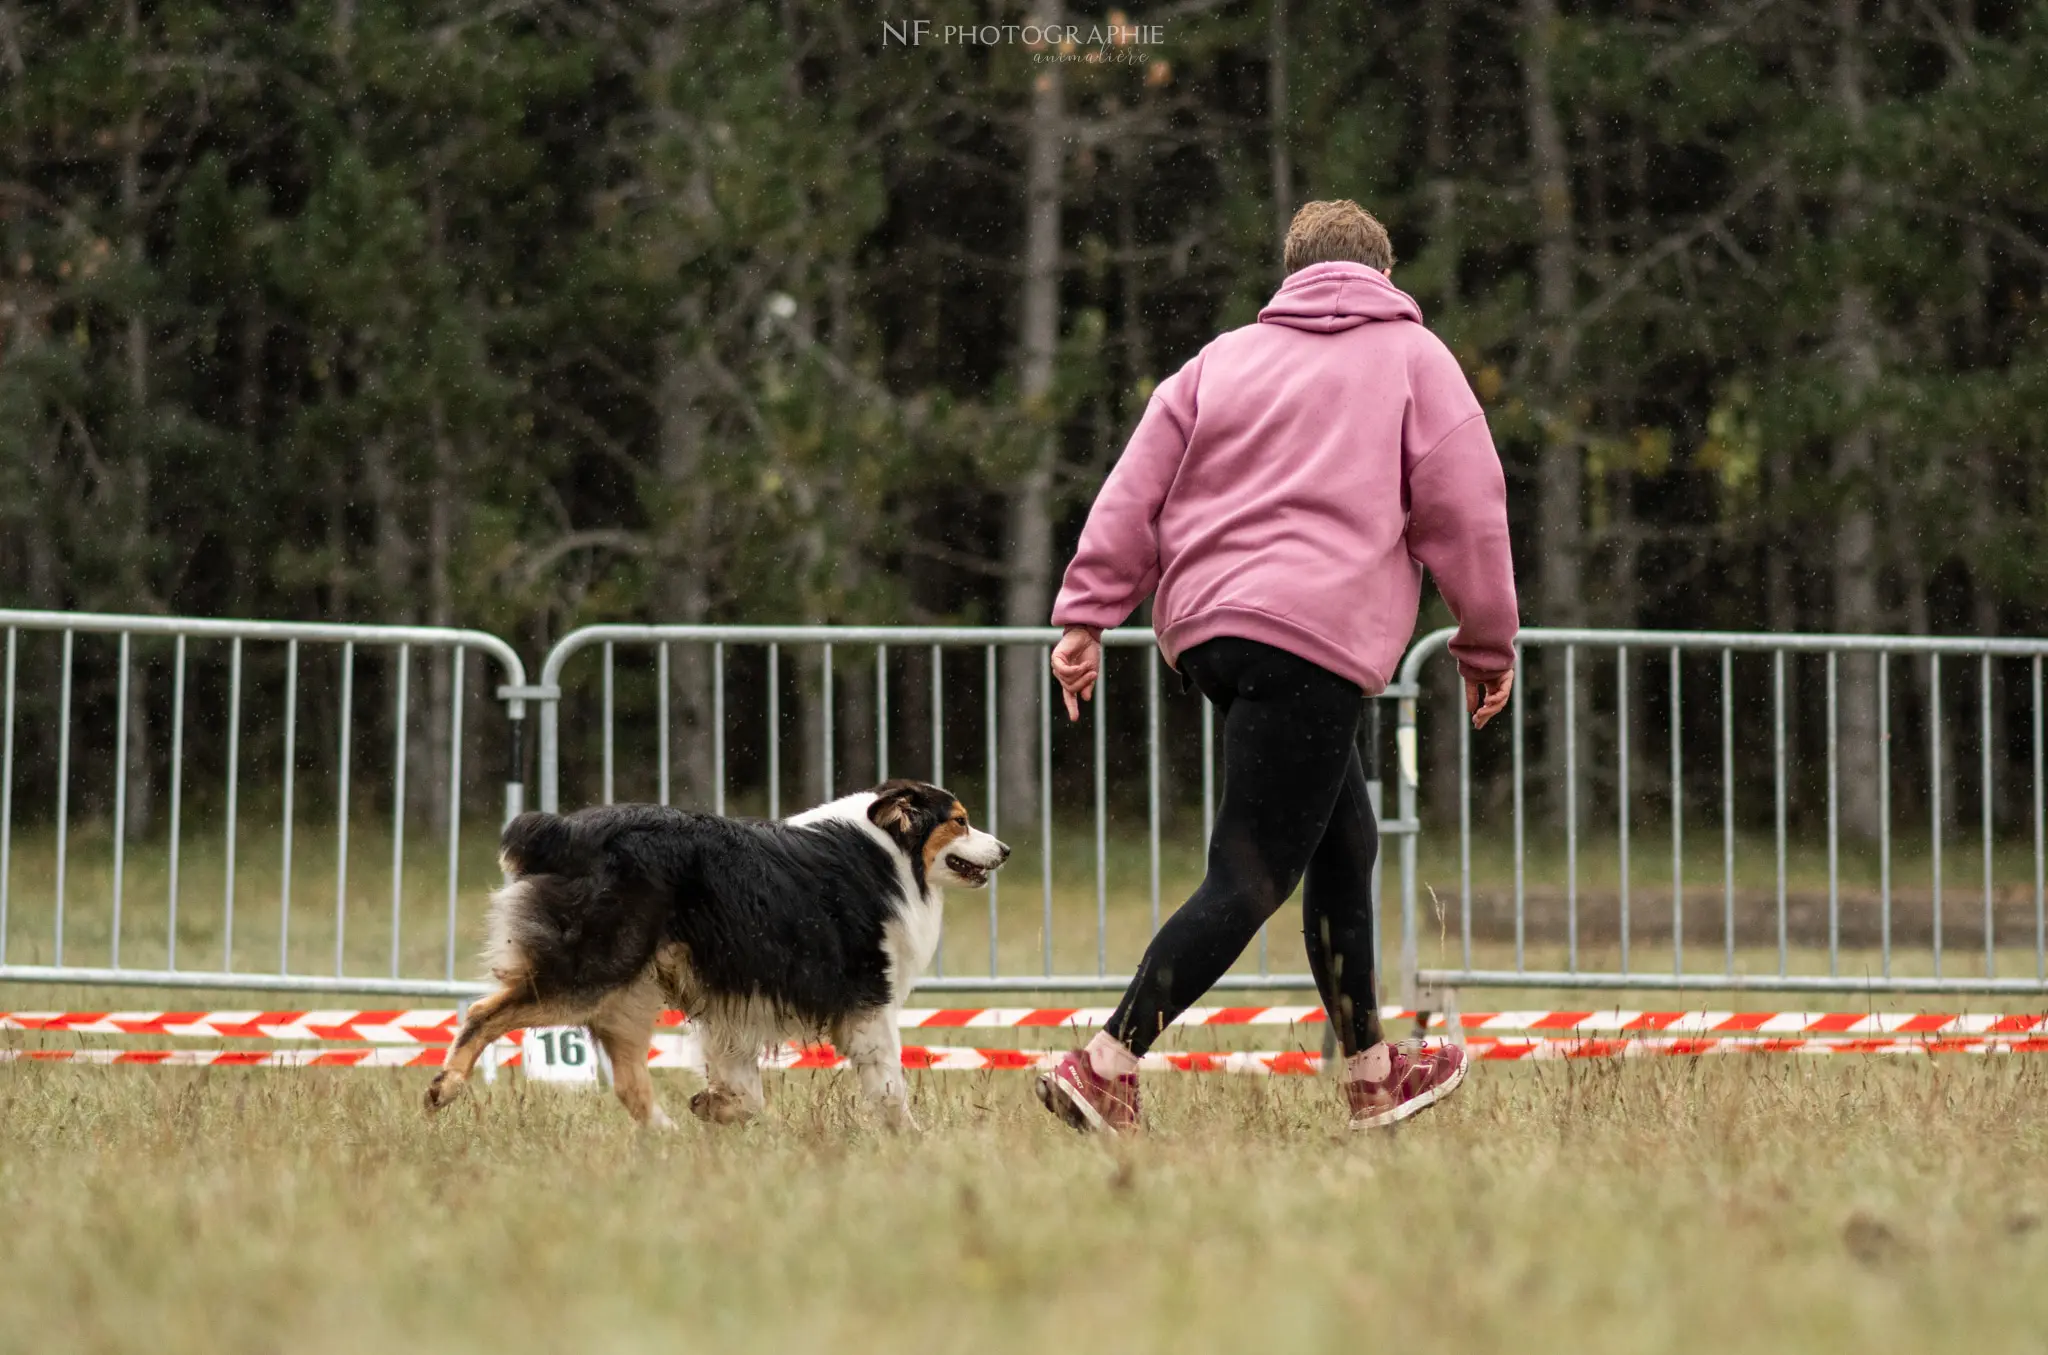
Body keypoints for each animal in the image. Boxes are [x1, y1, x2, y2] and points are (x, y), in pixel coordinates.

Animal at [421, 781, 1007, 1129]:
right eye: (959, 820)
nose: (1004, 850)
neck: (888, 850)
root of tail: (566, 830)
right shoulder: (868, 1002)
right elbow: (889, 1086)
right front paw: (910, 1140)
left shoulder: (735, 1002)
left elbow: (745, 1089)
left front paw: (717, 1106)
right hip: (593, 971)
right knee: (484, 1012)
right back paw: (444, 1087)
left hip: (630, 990)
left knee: (628, 1077)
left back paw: (665, 1135)